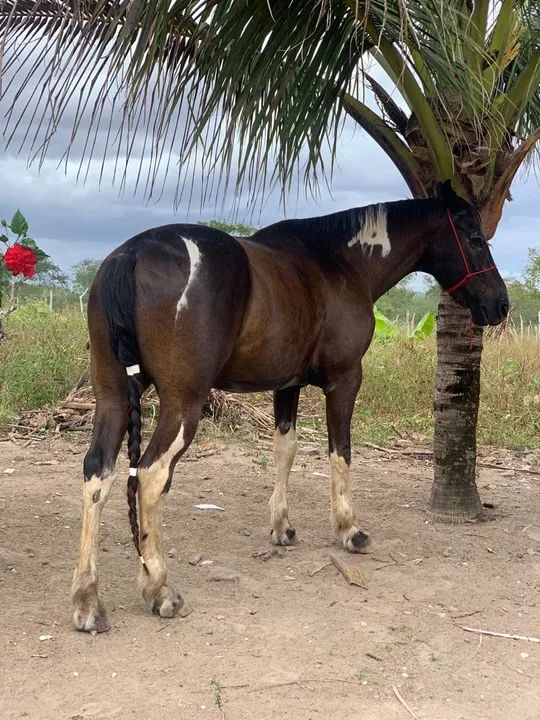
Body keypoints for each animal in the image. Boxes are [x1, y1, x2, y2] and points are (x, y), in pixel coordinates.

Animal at [71, 181, 508, 632]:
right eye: (475, 239)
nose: (500, 304)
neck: (339, 264)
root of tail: (133, 253)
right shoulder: (345, 380)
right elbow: (340, 452)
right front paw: (349, 529)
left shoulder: (287, 386)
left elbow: (286, 450)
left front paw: (282, 526)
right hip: (182, 405)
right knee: (151, 475)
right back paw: (159, 589)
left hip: (113, 398)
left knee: (97, 474)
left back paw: (88, 600)